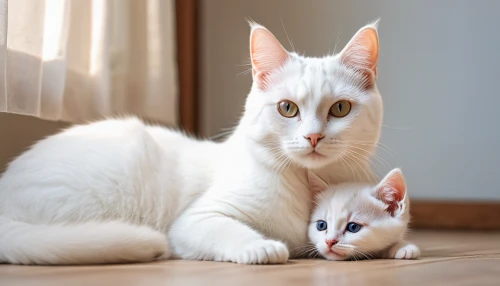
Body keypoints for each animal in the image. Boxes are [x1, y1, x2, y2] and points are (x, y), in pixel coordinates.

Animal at [0, 21, 382, 264]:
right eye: (287, 108)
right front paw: (262, 248)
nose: (313, 136)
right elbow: (230, 230)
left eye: (340, 108)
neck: (307, 183)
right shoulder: (196, 220)